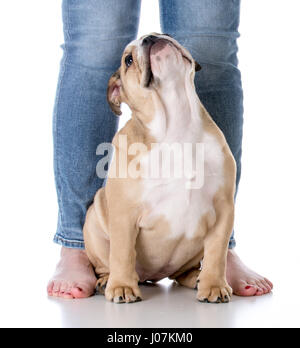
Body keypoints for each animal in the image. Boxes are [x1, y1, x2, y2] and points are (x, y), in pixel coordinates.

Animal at [83, 33, 236, 304]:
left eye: (165, 34)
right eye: (128, 60)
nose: (151, 37)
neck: (176, 122)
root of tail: (152, 277)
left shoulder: (223, 210)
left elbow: (217, 254)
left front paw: (214, 286)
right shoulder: (124, 214)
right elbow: (122, 252)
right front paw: (122, 287)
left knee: (185, 271)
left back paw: (196, 278)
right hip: (93, 223)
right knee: (107, 263)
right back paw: (106, 282)